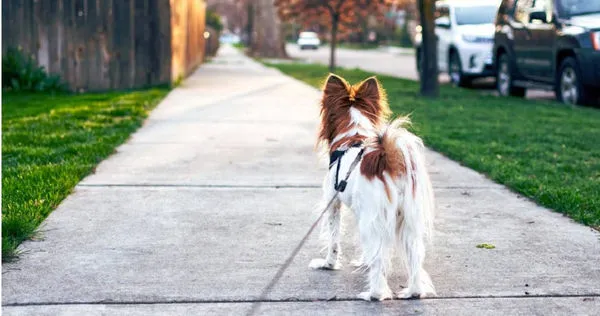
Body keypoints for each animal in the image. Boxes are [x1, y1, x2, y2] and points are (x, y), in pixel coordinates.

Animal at [310, 74, 436, 302]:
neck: (353, 135)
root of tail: (388, 159)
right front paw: (363, 261)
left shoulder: (333, 203)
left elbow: (333, 240)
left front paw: (328, 265)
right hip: (407, 220)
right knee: (414, 255)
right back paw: (413, 292)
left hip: (375, 217)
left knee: (379, 259)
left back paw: (373, 294)